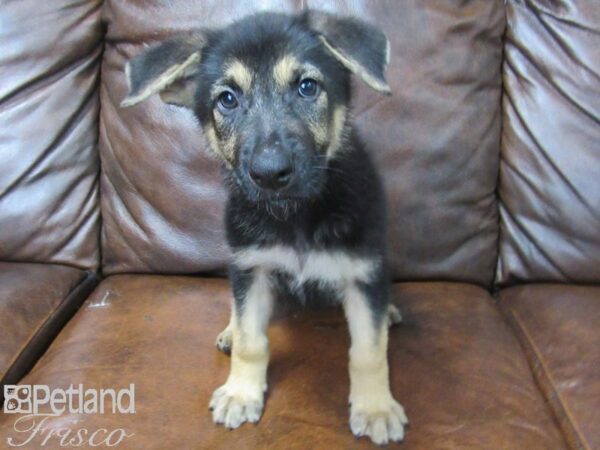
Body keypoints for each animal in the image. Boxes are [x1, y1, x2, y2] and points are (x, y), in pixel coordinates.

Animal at [122, 11, 408, 446]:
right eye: (227, 99)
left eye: (307, 87)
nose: (270, 174)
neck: (295, 217)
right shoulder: (251, 267)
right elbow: (251, 341)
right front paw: (242, 393)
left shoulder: (363, 273)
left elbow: (369, 351)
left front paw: (375, 407)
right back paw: (229, 330)